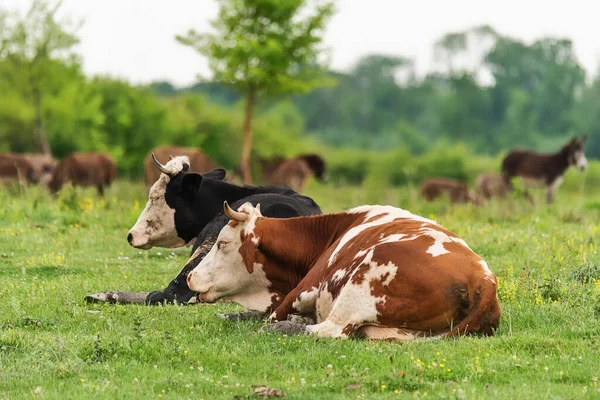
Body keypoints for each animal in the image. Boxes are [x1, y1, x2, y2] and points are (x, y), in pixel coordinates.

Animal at [189, 202, 502, 340]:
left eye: (223, 242)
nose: (191, 277)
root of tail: (483, 277)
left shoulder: (302, 290)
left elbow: (271, 315)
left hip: (361, 285)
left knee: (330, 330)